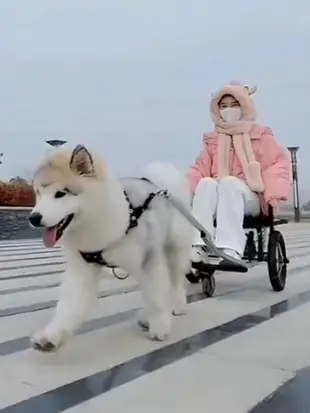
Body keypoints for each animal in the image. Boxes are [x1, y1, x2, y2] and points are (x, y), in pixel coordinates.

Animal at [29, 145, 194, 350]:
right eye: (39, 194)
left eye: (60, 194)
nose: (34, 218)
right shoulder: (83, 268)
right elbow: (69, 304)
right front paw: (51, 336)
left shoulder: (149, 259)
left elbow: (157, 298)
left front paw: (160, 328)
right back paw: (145, 317)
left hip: (174, 249)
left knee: (176, 282)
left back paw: (177, 307)